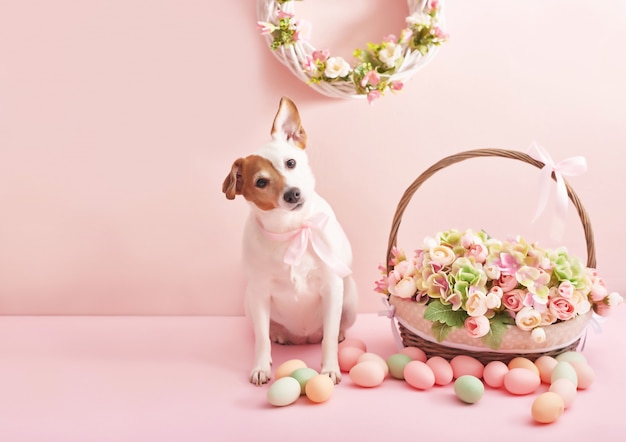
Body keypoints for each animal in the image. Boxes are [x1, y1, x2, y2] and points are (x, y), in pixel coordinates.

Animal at [221, 97, 356, 386]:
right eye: (261, 182)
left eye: (291, 162)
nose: (292, 193)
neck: (291, 231)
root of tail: (303, 336)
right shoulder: (260, 294)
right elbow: (261, 339)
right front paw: (261, 366)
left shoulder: (332, 288)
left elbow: (329, 339)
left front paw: (330, 368)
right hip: (249, 303)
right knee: (267, 331)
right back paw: (279, 334)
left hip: (349, 299)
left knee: (332, 330)